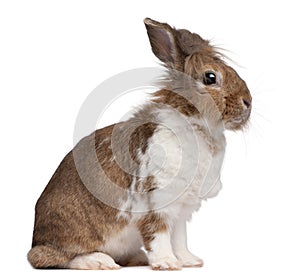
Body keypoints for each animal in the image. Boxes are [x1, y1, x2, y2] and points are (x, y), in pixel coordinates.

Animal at [27, 17, 251, 270]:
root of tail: (37, 238)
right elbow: (159, 235)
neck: (197, 126)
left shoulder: (181, 211)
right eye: (210, 77)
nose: (248, 102)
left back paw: (135, 258)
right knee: (54, 257)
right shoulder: (157, 202)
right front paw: (167, 264)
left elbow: (179, 238)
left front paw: (189, 261)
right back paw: (100, 261)